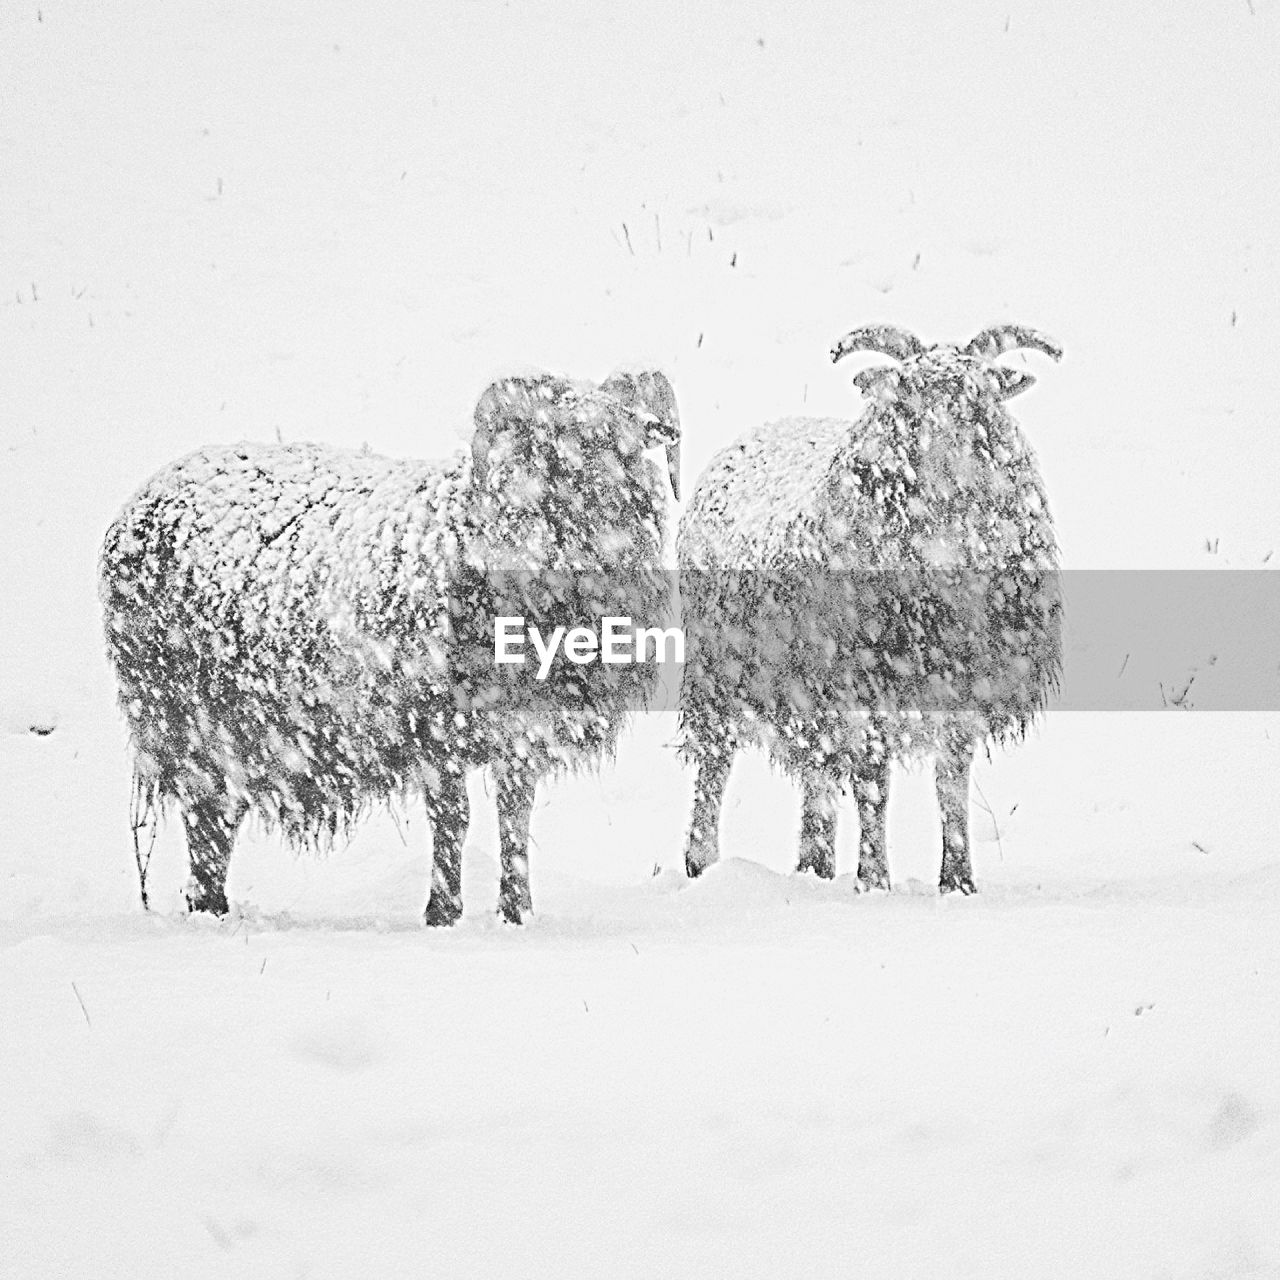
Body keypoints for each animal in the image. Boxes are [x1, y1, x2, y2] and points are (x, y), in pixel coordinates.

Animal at [99, 368, 680, 921]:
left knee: (218, 815)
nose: (614, 493)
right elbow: (452, 818)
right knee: (205, 815)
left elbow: (514, 818)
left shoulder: (521, 733)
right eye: (559, 439)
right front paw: (443, 913)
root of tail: (139, 504)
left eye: (632, 439)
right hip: (183, 717)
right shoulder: (433, 726)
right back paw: (210, 911)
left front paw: (517, 914)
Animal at [680, 325, 1059, 896]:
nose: (951, 472)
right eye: (905, 400)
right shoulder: (862, 686)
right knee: (713, 765)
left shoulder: (966, 689)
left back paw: (813, 867)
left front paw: (958, 882)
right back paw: (701, 864)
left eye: (982, 400)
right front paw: (874, 880)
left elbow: (952, 783)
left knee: (816, 773)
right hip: (716, 676)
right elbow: (872, 783)